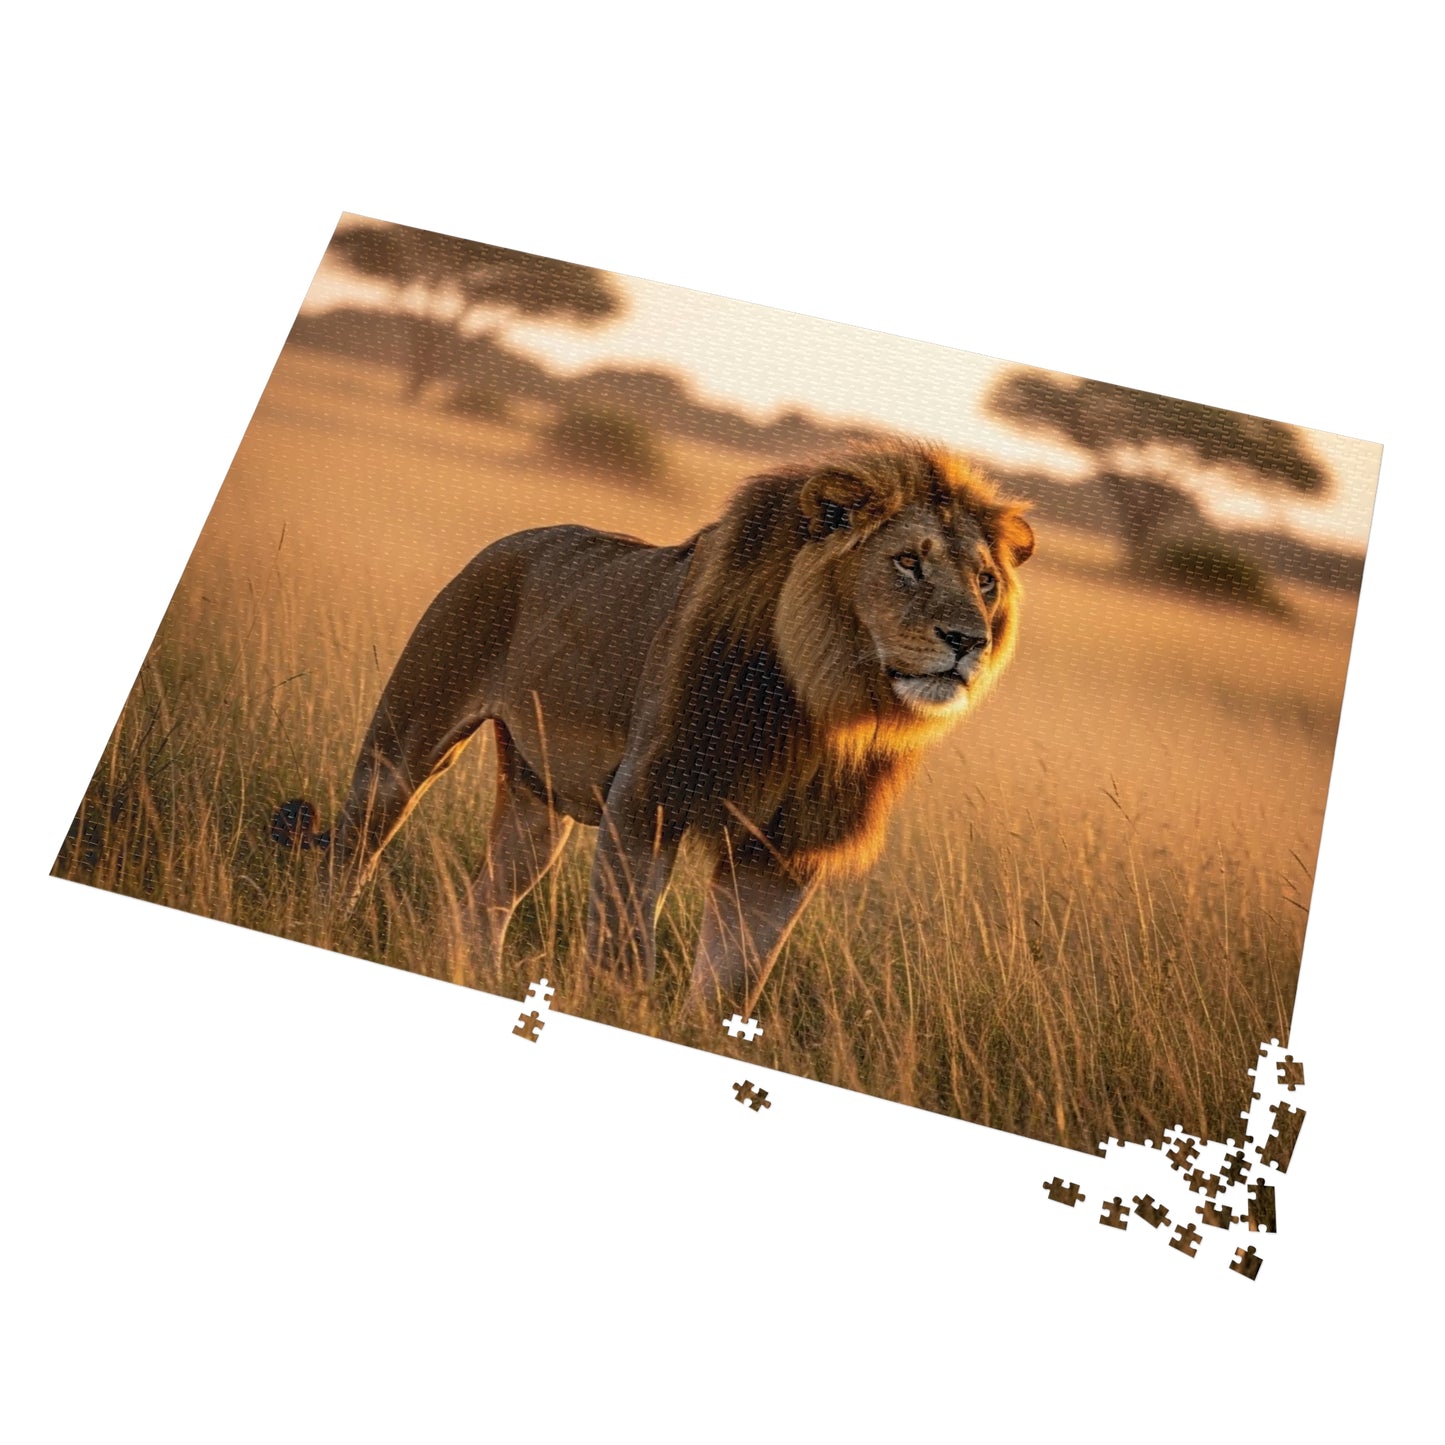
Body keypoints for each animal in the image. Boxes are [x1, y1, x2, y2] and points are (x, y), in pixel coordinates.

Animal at [273, 442, 1034, 1014]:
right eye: (908, 562)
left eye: (985, 581)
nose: (968, 641)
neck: (821, 703)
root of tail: (512, 539)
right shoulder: (646, 799)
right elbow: (624, 949)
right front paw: (623, 1013)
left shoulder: (784, 850)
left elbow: (735, 979)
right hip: (405, 744)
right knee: (353, 849)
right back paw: (326, 926)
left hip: (535, 806)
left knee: (484, 902)